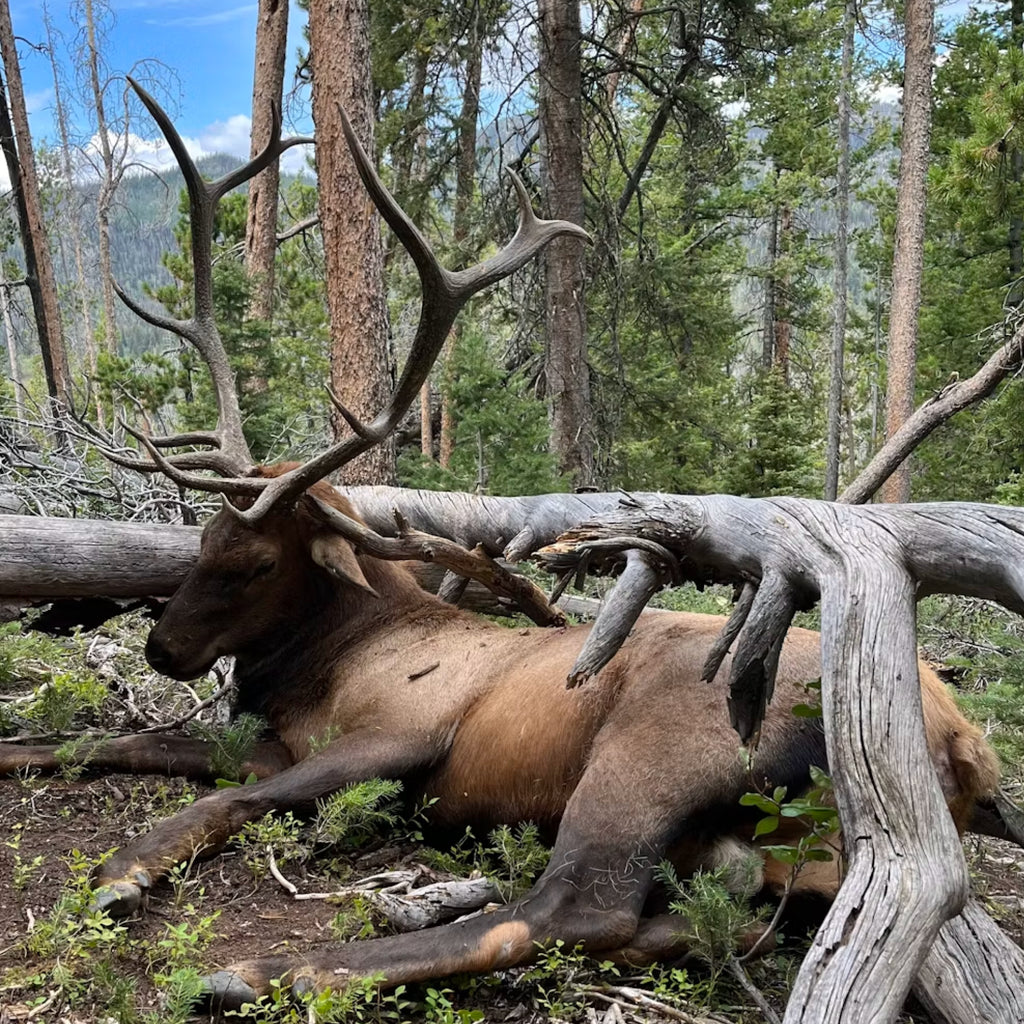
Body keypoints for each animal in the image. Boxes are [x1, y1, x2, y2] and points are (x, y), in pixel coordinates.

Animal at [0, 80, 1005, 1014]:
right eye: (200, 538)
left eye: (254, 563)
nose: (161, 647)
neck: (323, 659)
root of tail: (964, 748)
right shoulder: (266, 740)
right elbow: (106, 742)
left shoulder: (397, 735)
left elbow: (223, 799)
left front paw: (123, 870)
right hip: (780, 850)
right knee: (726, 917)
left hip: (652, 751)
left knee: (575, 909)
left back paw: (277, 969)